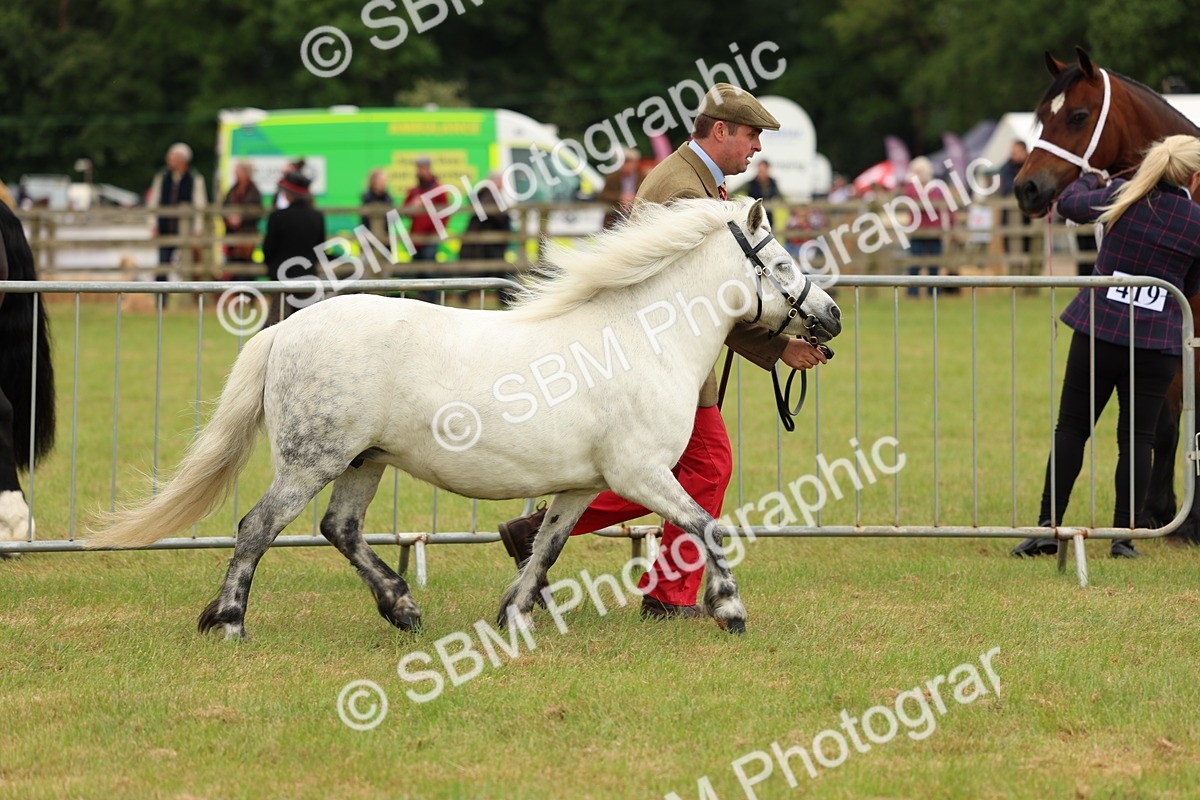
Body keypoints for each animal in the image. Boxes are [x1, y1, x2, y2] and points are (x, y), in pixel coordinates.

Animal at [86, 198, 842, 639]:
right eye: (780, 263)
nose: (831, 318)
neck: (640, 337)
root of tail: (287, 330)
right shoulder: (641, 473)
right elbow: (706, 526)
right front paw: (730, 611)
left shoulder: (582, 484)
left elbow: (546, 547)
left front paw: (513, 616)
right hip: (311, 460)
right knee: (256, 528)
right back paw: (232, 622)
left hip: (363, 462)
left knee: (340, 529)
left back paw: (401, 608)